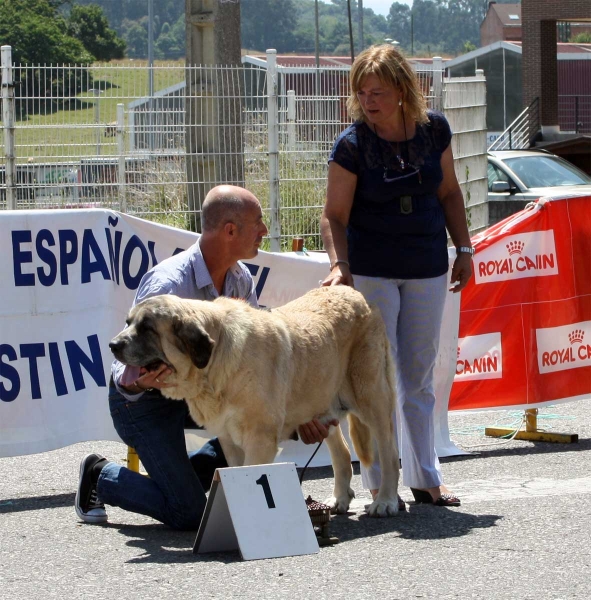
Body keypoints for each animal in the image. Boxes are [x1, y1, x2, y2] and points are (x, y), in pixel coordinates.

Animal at [108, 284, 400, 516]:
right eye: (128, 323)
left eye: (147, 328)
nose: (113, 345)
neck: (215, 360)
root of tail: (355, 294)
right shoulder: (228, 439)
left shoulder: (259, 439)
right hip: (322, 399)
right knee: (342, 452)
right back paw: (340, 499)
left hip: (372, 397)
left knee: (388, 452)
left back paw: (386, 501)